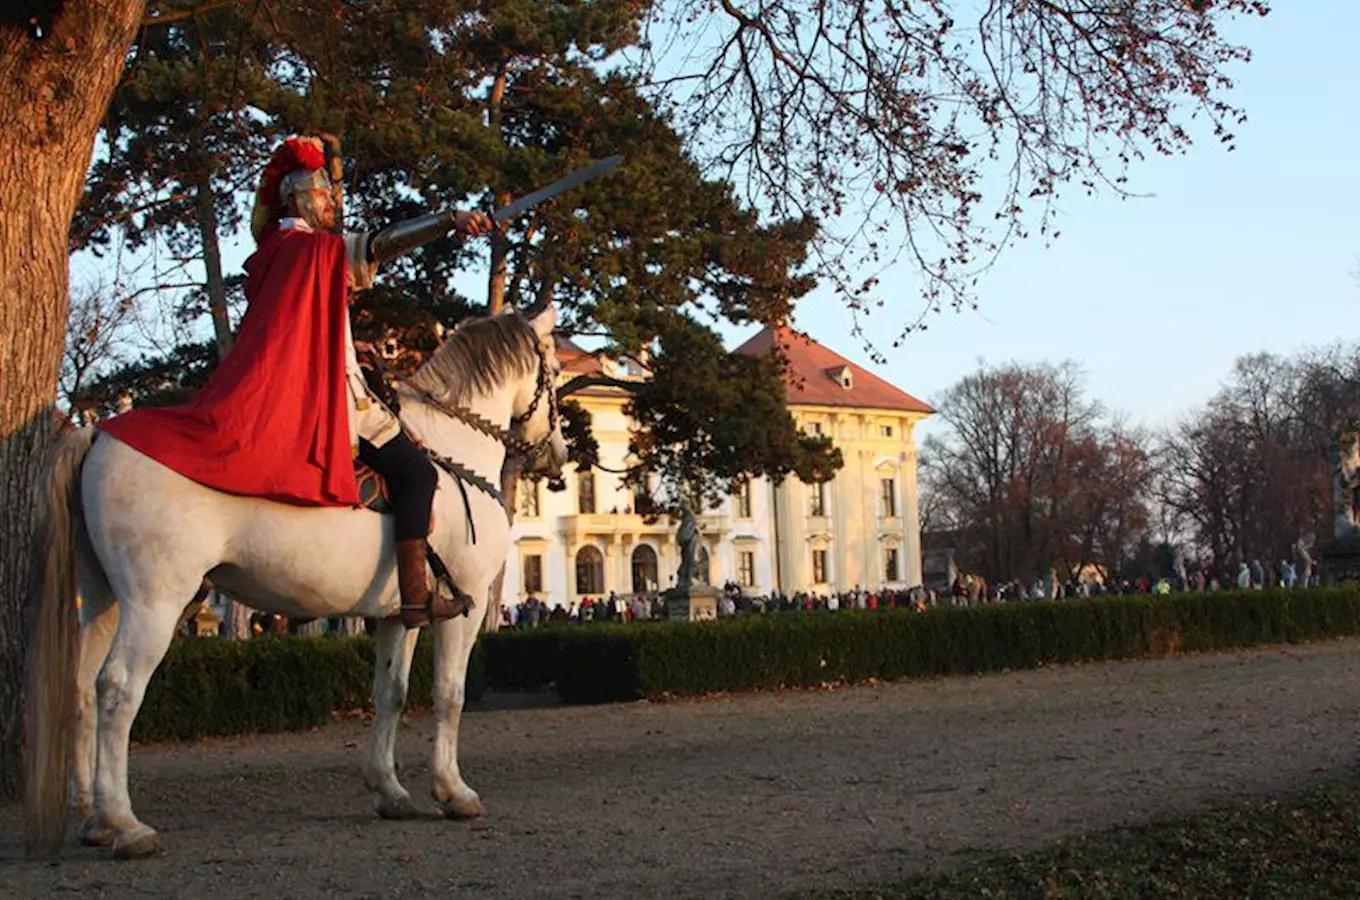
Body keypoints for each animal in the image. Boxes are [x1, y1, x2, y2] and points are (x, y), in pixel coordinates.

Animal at [26, 303, 568, 859]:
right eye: (553, 373)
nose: (559, 454)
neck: (451, 449)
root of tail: (98, 433)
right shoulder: (467, 603)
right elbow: (449, 694)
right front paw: (452, 790)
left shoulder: (400, 614)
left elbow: (390, 693)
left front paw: (389, 790)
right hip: (155, 603)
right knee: (117, 689)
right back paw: (124, 823)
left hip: (104, 600)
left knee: (82, 687)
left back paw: (93, 817)